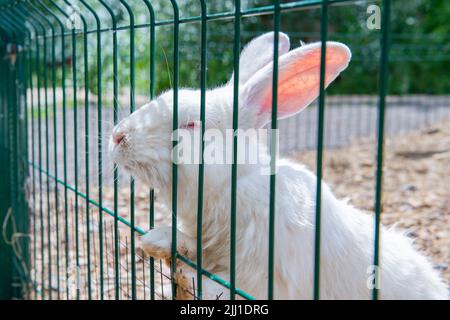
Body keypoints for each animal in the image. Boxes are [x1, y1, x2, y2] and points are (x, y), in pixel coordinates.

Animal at [110, 32, 450, 300]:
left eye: (190, 124)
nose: (117, 136)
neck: (234, 183)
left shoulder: (265, 277)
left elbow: (219, 284)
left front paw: (166, 251)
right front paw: (159, 240)